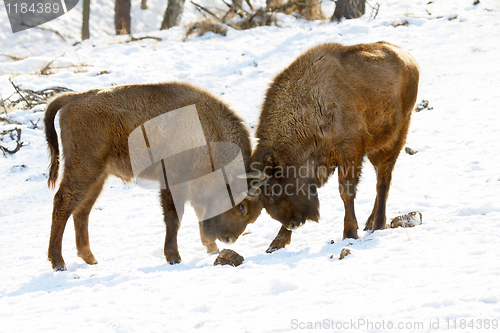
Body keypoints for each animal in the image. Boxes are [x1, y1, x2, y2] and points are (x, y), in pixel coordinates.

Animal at [45, 81, 264, 270]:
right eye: (242, 207)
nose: (229, 239)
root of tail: (74, 98)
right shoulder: (173, 181)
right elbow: (174, 217)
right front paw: (174, 257)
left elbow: (198, 212)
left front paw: (212, 248)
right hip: (84, 168)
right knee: (63, 203)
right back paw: (58, 262)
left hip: (98, 176)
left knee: (82, 211)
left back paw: (90, 258)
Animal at [252, 40, 420, 250]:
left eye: (275, 191)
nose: (293, 223)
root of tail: (409, 60)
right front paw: (276, 243)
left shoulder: (349, 152)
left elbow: (346, 193)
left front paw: (350, 233)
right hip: (374, 149)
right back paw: (370, 222)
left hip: (393, 140)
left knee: (383, 181)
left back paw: (379, 224)